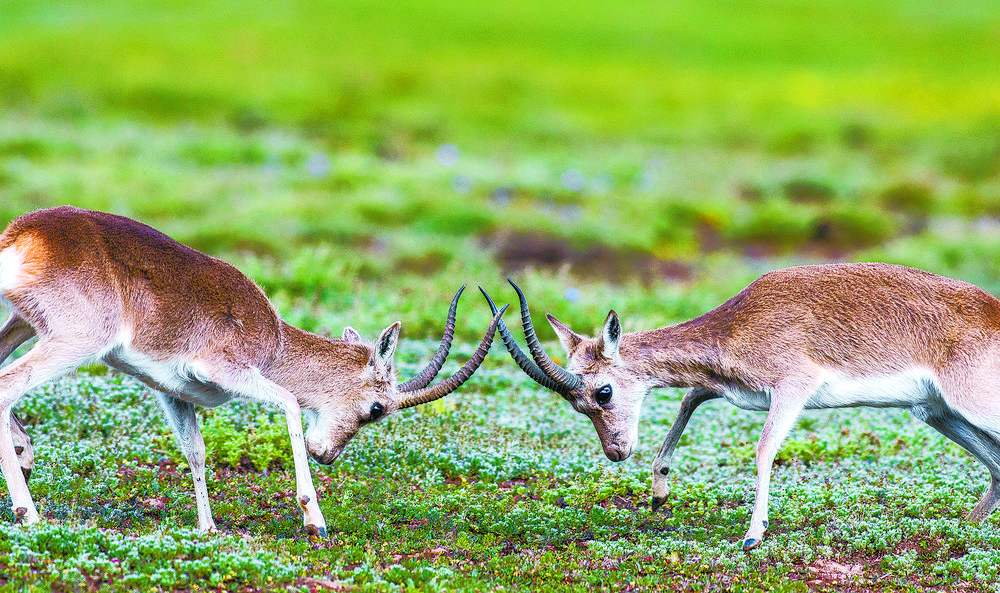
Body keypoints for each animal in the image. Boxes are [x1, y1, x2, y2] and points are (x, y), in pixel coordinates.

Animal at [0, 206, 507, 537]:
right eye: (378, 408)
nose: (328, 454)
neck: (275, 339)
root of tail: (25, 233)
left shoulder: (173, 392)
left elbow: (196, 451)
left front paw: (208, 529)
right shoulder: (222, 369)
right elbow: (289, 402)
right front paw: (315, 521)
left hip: (22, 324)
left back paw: (24, 457)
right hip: (75, 341)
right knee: (8, 386)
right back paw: (29, 512)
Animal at [481, 262, 1000, 549]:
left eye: (602, 392)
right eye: (575, 405)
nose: (616, 451)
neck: (736, 323)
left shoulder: (793, 387)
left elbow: (763, 449)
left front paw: (753, 535)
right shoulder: (726, 389)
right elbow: (688, 399)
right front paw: (659, 492)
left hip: (968, 409)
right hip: (936, 412)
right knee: (996, 465)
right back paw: (964, 529)